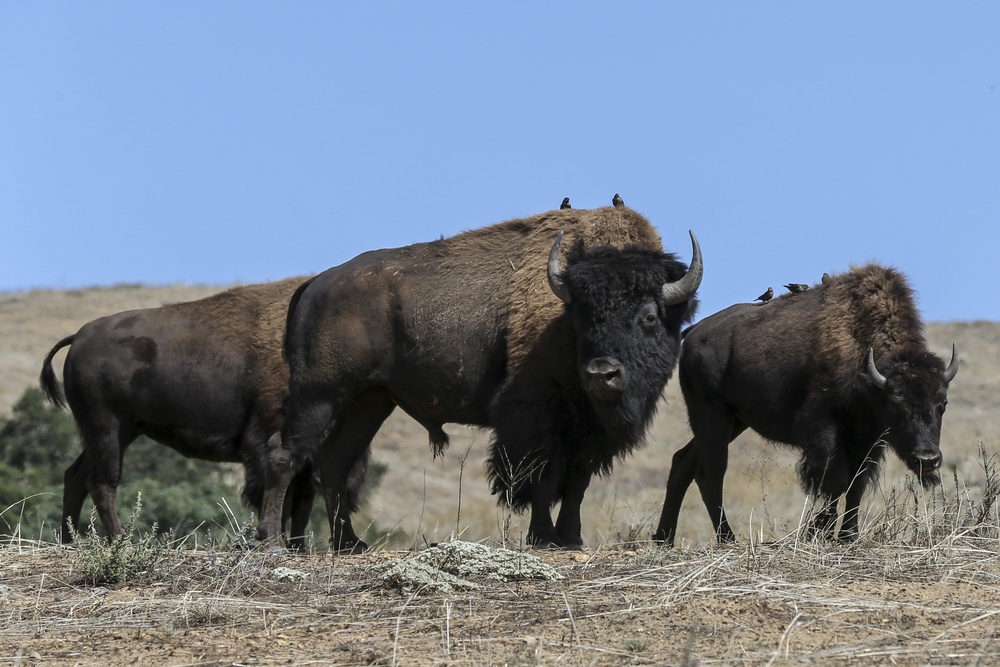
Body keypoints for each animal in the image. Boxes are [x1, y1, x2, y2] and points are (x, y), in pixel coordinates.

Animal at [40, 280, 316, 544]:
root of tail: (78, 337)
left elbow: (301, 504)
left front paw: (298, 547)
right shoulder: (263, 439)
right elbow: (281, 498)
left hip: (121, 432)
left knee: (76, 477)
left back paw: (69, 542)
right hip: (106, 429)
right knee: (101, 482)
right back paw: (120, 541)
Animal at [258, 206, 704, 552]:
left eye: (650, 316)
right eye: (582, 315)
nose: (601, 373)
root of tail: (314, 285)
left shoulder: (587, 432)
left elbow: (576, 483)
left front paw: (571, 538)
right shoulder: (535, 415)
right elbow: (541, 477)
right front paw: (544, 538)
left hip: (369, 401)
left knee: (334, 463)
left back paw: (349, 544)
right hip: (319, 395)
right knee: (284, 454)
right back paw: (273, 544)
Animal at [652, 264, 956, 544]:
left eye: (942, 403)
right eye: (896, 405)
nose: (928, 459)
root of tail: (693, 333)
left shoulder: (868, 438)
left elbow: (856, 484)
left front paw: (848, 536)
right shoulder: (822, 428)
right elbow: (835, 481)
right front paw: (817, 531)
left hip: (733, 421)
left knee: (683, 462)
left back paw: (664, 537)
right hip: (712, 415)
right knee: (711, 474)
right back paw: (727, 538)